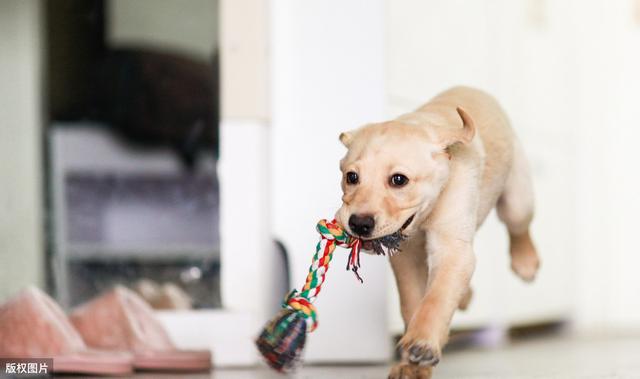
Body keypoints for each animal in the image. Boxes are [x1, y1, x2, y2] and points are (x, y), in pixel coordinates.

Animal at [336, 87, 540, 379]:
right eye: (351, 177)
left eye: (399, 180)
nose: (359, 224)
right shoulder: (406, 256)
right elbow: (413, 302)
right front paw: (412, 366)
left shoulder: (452, 249)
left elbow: (437, 297)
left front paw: (422, 342)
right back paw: (465, 296)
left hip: (517, 197)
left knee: (519, 225)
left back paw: (526, 262)